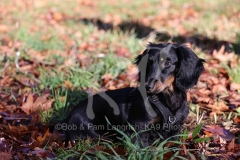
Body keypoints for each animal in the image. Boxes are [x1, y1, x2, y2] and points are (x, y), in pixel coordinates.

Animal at [64, 42, 205, 146]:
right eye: (149, 62)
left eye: (168, 63)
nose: (148, 86)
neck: (166, 99)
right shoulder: (139, 126)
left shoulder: (176, 128)